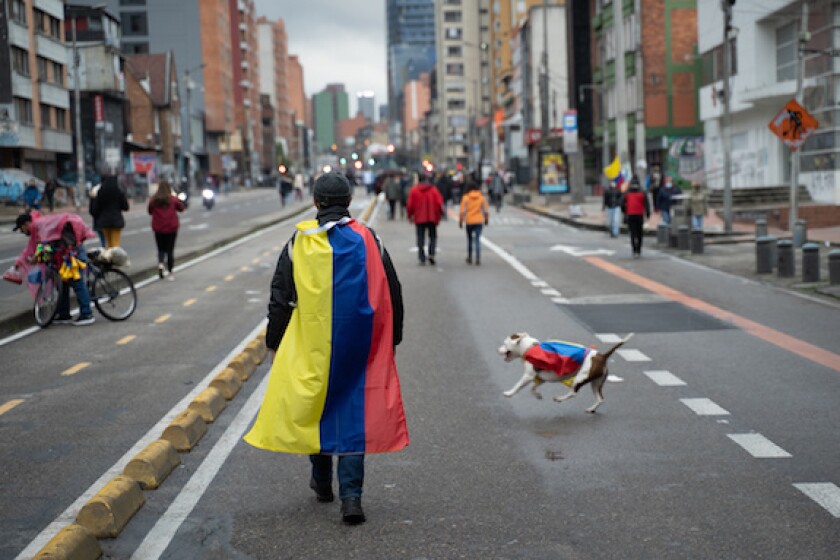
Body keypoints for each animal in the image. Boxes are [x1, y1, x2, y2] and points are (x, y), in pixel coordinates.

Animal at [498, 332, 632, 412]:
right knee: (600, 398)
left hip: (580, 378)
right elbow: (533, 388)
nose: (497, 349)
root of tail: (602, 357)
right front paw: (537, 395)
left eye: (504, 343)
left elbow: (518, 385)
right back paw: (591, 409)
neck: (529, 347)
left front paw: (509, 393)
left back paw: (559, 399)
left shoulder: (528, 376)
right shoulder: (542, 378)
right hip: (596, 383)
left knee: (573, 393)